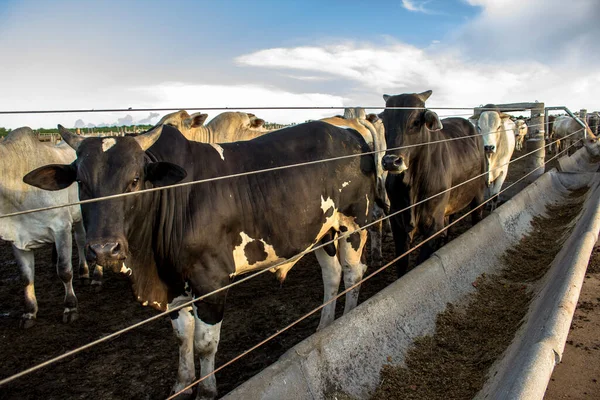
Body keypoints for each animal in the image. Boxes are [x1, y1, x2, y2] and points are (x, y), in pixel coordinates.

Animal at [0, 128, 88, 328]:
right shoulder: (18, 238)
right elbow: (26, 277)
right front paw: (29, 312)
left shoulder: (61, 227)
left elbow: (64, 270)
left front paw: (70, 307)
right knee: (80, 240)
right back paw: (84, 272)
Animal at [25, 122, 382, 400]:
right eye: (82, 183)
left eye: (135, 180)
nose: (103, 250)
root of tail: (348, 131)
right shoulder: (173, 284)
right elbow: (183, 338)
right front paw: (183, 385)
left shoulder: (211, 282)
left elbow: (205, 344)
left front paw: (207, 390)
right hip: (321, 231)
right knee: (332, 276)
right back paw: (324, 326)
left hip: (353, 223)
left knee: (353, 273)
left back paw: (349, 320)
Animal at [380, 90, 488, 278]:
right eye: (385, 121)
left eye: (416, 121)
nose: (391, 161)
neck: (411, 185)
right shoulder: (397, 222)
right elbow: (402, 264)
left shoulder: (433, 225)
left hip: (478, 194)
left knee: (476, 216)